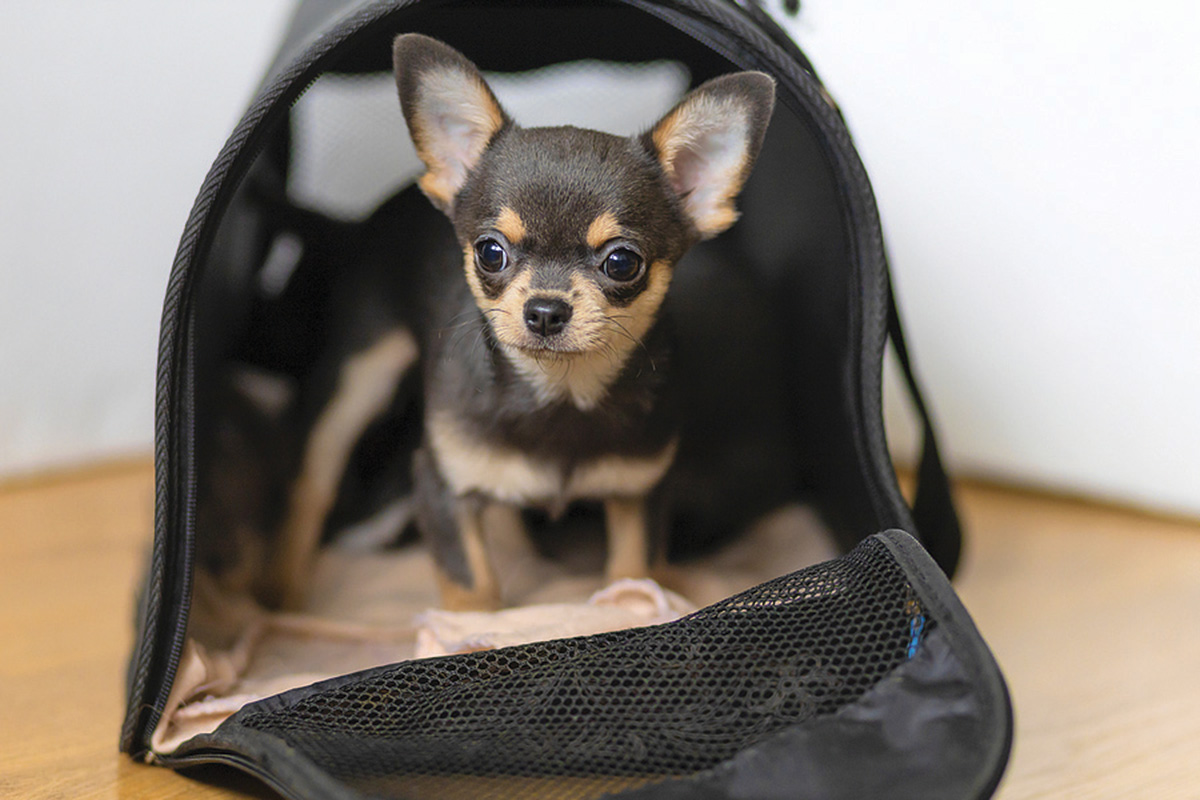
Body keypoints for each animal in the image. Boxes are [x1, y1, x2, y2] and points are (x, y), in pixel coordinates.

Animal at [262, 34, 777, 609]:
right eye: (490, 252)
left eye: (622, 262)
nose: (545, 311)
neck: (559, 393)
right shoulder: (441, 488)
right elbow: (474, 590)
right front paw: (475, 623)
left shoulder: (639, 493)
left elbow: (630, 574)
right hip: (361, 371)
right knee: (313, 482)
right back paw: (282, 591)